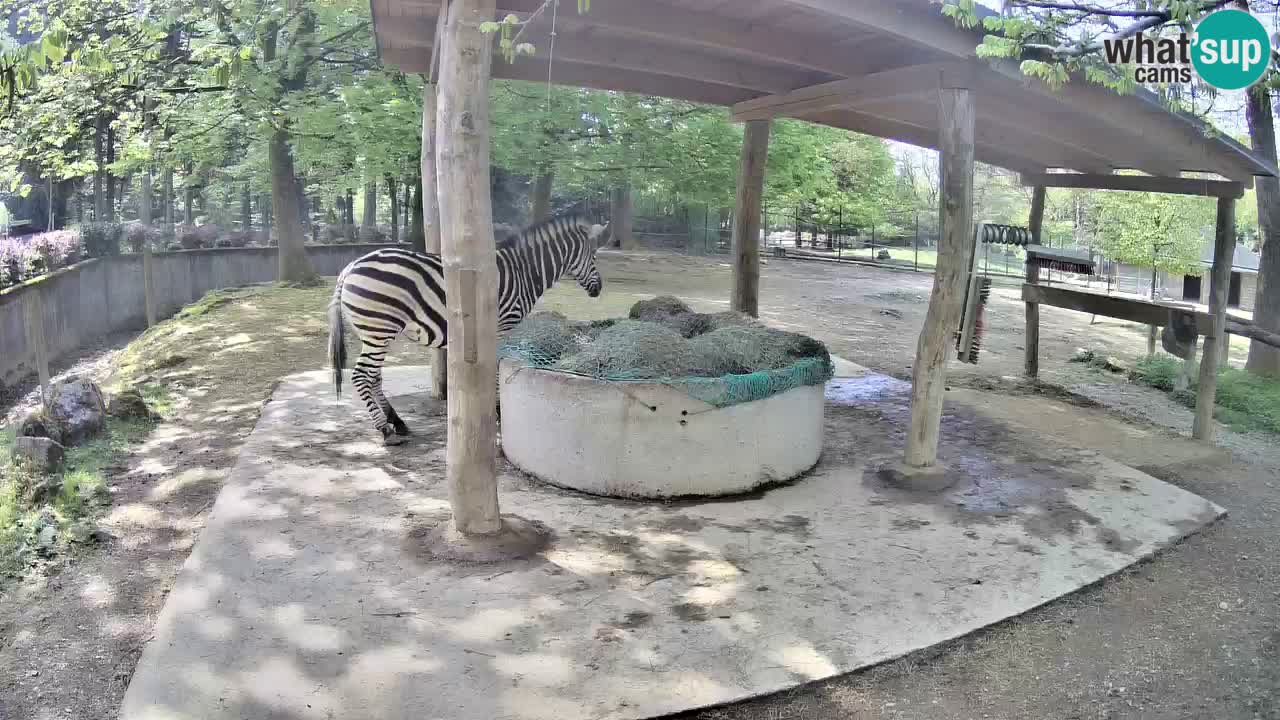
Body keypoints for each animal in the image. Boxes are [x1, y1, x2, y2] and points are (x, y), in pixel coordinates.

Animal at [328, 213, 609, 445]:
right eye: (594, 256)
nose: (598, 291)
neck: (523, 272)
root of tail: (349, 267)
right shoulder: (501, 327)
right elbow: (495, 369)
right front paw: (497, 411)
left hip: (374, 332)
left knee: (374, 376)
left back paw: (398, 423)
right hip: (379, 328)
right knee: (361, 375)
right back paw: (385, 430)